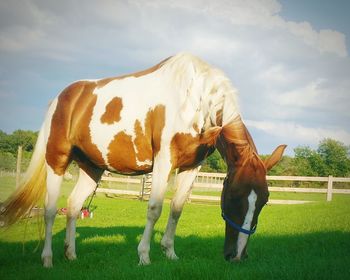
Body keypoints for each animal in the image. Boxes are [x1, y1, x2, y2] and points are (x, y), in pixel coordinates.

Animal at [0, 53, 286, 266]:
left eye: (264, 200)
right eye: (234, 196)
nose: (237, 256)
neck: (193, 99)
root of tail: (61, 99)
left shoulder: (191, 167)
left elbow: (177, 209)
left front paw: (170, 252)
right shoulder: (164, 162)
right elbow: (155, 209)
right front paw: (145, 255)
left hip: (92, 168)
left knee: (72, 206)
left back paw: (71, 254)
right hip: (57, 160)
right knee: (50, 210)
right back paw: (47, 258)